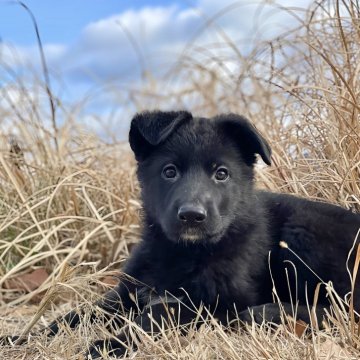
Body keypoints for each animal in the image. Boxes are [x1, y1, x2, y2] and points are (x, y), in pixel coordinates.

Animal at [2, 112, 360, 358]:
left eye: (221, 174)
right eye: (169, 171)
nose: (191, 216)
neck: (184, 252)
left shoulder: (216, 302)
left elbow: (161, 314)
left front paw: (107, 344)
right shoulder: (125, 293)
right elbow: (73, 316)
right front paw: (20, 338)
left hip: (301, 232)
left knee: (341, 308)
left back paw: (270, 313)